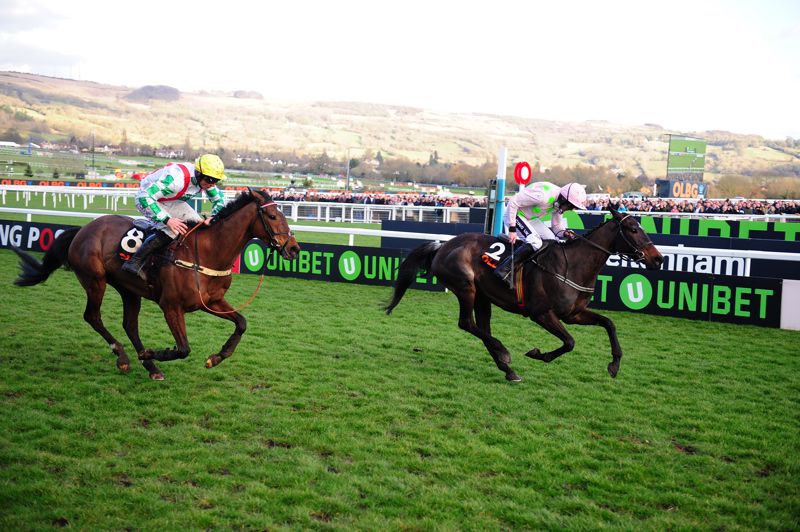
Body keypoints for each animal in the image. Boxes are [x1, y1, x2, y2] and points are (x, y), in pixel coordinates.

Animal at [12, 187, 300, 378]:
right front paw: (152, 353)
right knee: (92, 316)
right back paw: (125, 357)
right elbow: (183, 349)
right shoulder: (171, 306)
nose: (294, 249)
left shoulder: (212, 301)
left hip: (128, 290)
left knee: (129, 325)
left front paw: (216, 358)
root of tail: (83, 229)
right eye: (273, 217)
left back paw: (150, 367)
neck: (207, 252)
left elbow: (241, 323)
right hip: (94, 280)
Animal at [386, 206, 664, 380]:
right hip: (466, 288)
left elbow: (609, 323)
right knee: (466, 323)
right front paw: (539, 354)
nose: (658, 259)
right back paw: (504, 353)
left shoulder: (574, 314)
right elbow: (570, 342)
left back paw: (507, 369)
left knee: (482, 328)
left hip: (483, 297)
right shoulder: (541, 313)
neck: (572, 265)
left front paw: (614, 364)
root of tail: (443, 245)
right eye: (633, 230)